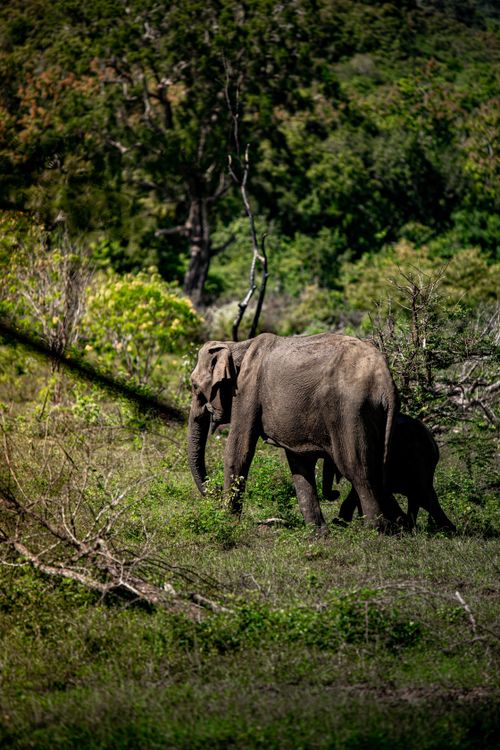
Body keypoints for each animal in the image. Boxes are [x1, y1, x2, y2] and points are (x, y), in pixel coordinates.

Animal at [187, 332, 401, 531]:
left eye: (194, 386)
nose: (214, 490)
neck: (237, 345)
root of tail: (386, 381)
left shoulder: (247, 390)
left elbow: (238, 450)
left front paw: (228, 522)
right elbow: (299, 463)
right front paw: (318, 534)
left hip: (350, 412)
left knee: (358, 470)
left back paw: (375, 531)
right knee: (378, 472)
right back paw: (398, 527)